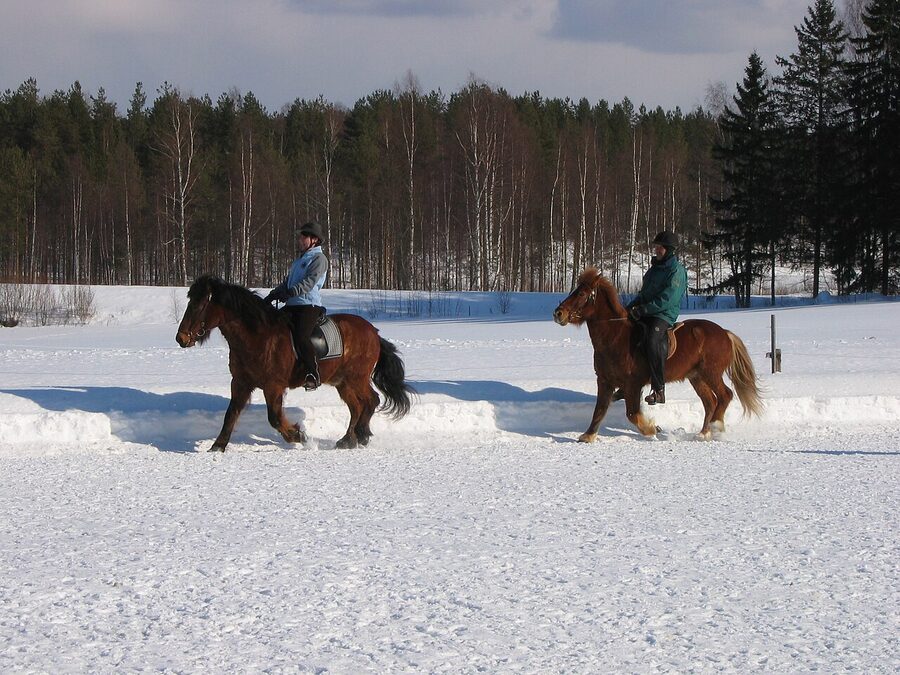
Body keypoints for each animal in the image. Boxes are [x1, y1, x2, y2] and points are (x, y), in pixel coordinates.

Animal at [175, 274, 414, 451]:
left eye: (199, 305)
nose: (181, 338)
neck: (257, 337)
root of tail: (373, 332)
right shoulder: (241, 383)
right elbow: (231, 414)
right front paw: (218, 446)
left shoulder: (273, 386)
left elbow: (274, 418)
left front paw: (298, 435)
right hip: (342, 382)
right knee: (357, 407)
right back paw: (347, 440)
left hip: (357, 378)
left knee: (371, 400)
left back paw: (362, 435)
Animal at [553, 268, 763, 441]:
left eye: (581, 293)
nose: (558, 313)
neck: (615, 337)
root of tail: (725, 333)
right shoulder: (605, 381)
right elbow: (599, 410)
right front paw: (588, 436)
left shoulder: (633, 384)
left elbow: (632, 414)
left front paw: (652, 429)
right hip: (696, 377)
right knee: (710, 402)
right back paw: (703, 433)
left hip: (711, 373)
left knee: (725, 395)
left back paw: (716, 426)